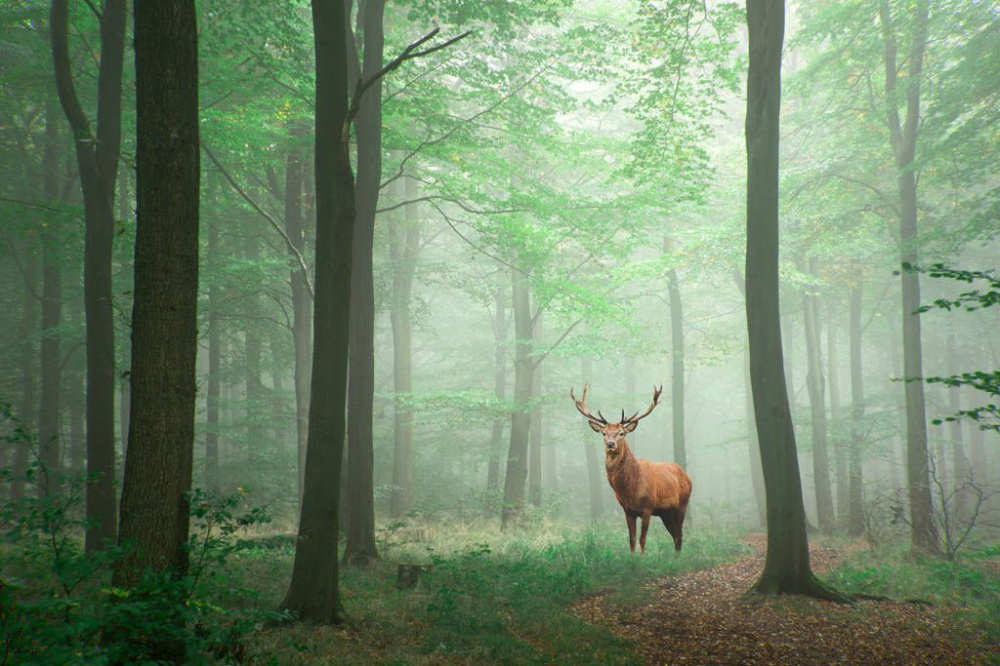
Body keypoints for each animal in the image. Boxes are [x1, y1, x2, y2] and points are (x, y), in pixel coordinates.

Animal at [571, 385, 691, 554]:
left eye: (622, 433)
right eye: (604, 433)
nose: (610, 443)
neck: (629, 489)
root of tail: (687, 477)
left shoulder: (647, 508)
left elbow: (642, 540)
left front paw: (642, 559)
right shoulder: (628, 511)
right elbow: (632, 540)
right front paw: (632, 558)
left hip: (682, 504)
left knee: (679, 535)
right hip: (665, 512)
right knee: (675, 535)